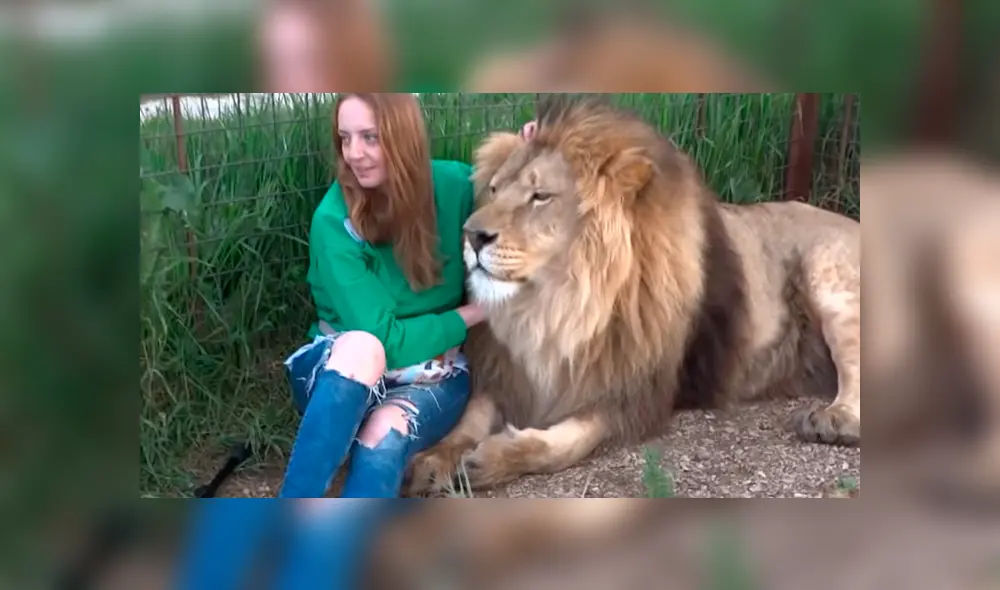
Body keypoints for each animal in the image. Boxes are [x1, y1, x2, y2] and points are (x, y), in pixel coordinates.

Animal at [404, 95, 861, 496]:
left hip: (828, 273)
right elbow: (468, 420)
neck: (557, 303)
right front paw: (432, 460)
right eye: (495, 191)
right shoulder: (505, 372)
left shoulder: (629, 394)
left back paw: (833, 421)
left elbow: (563, 444)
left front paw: (494, 458)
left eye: (540, 196)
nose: (471, 235)